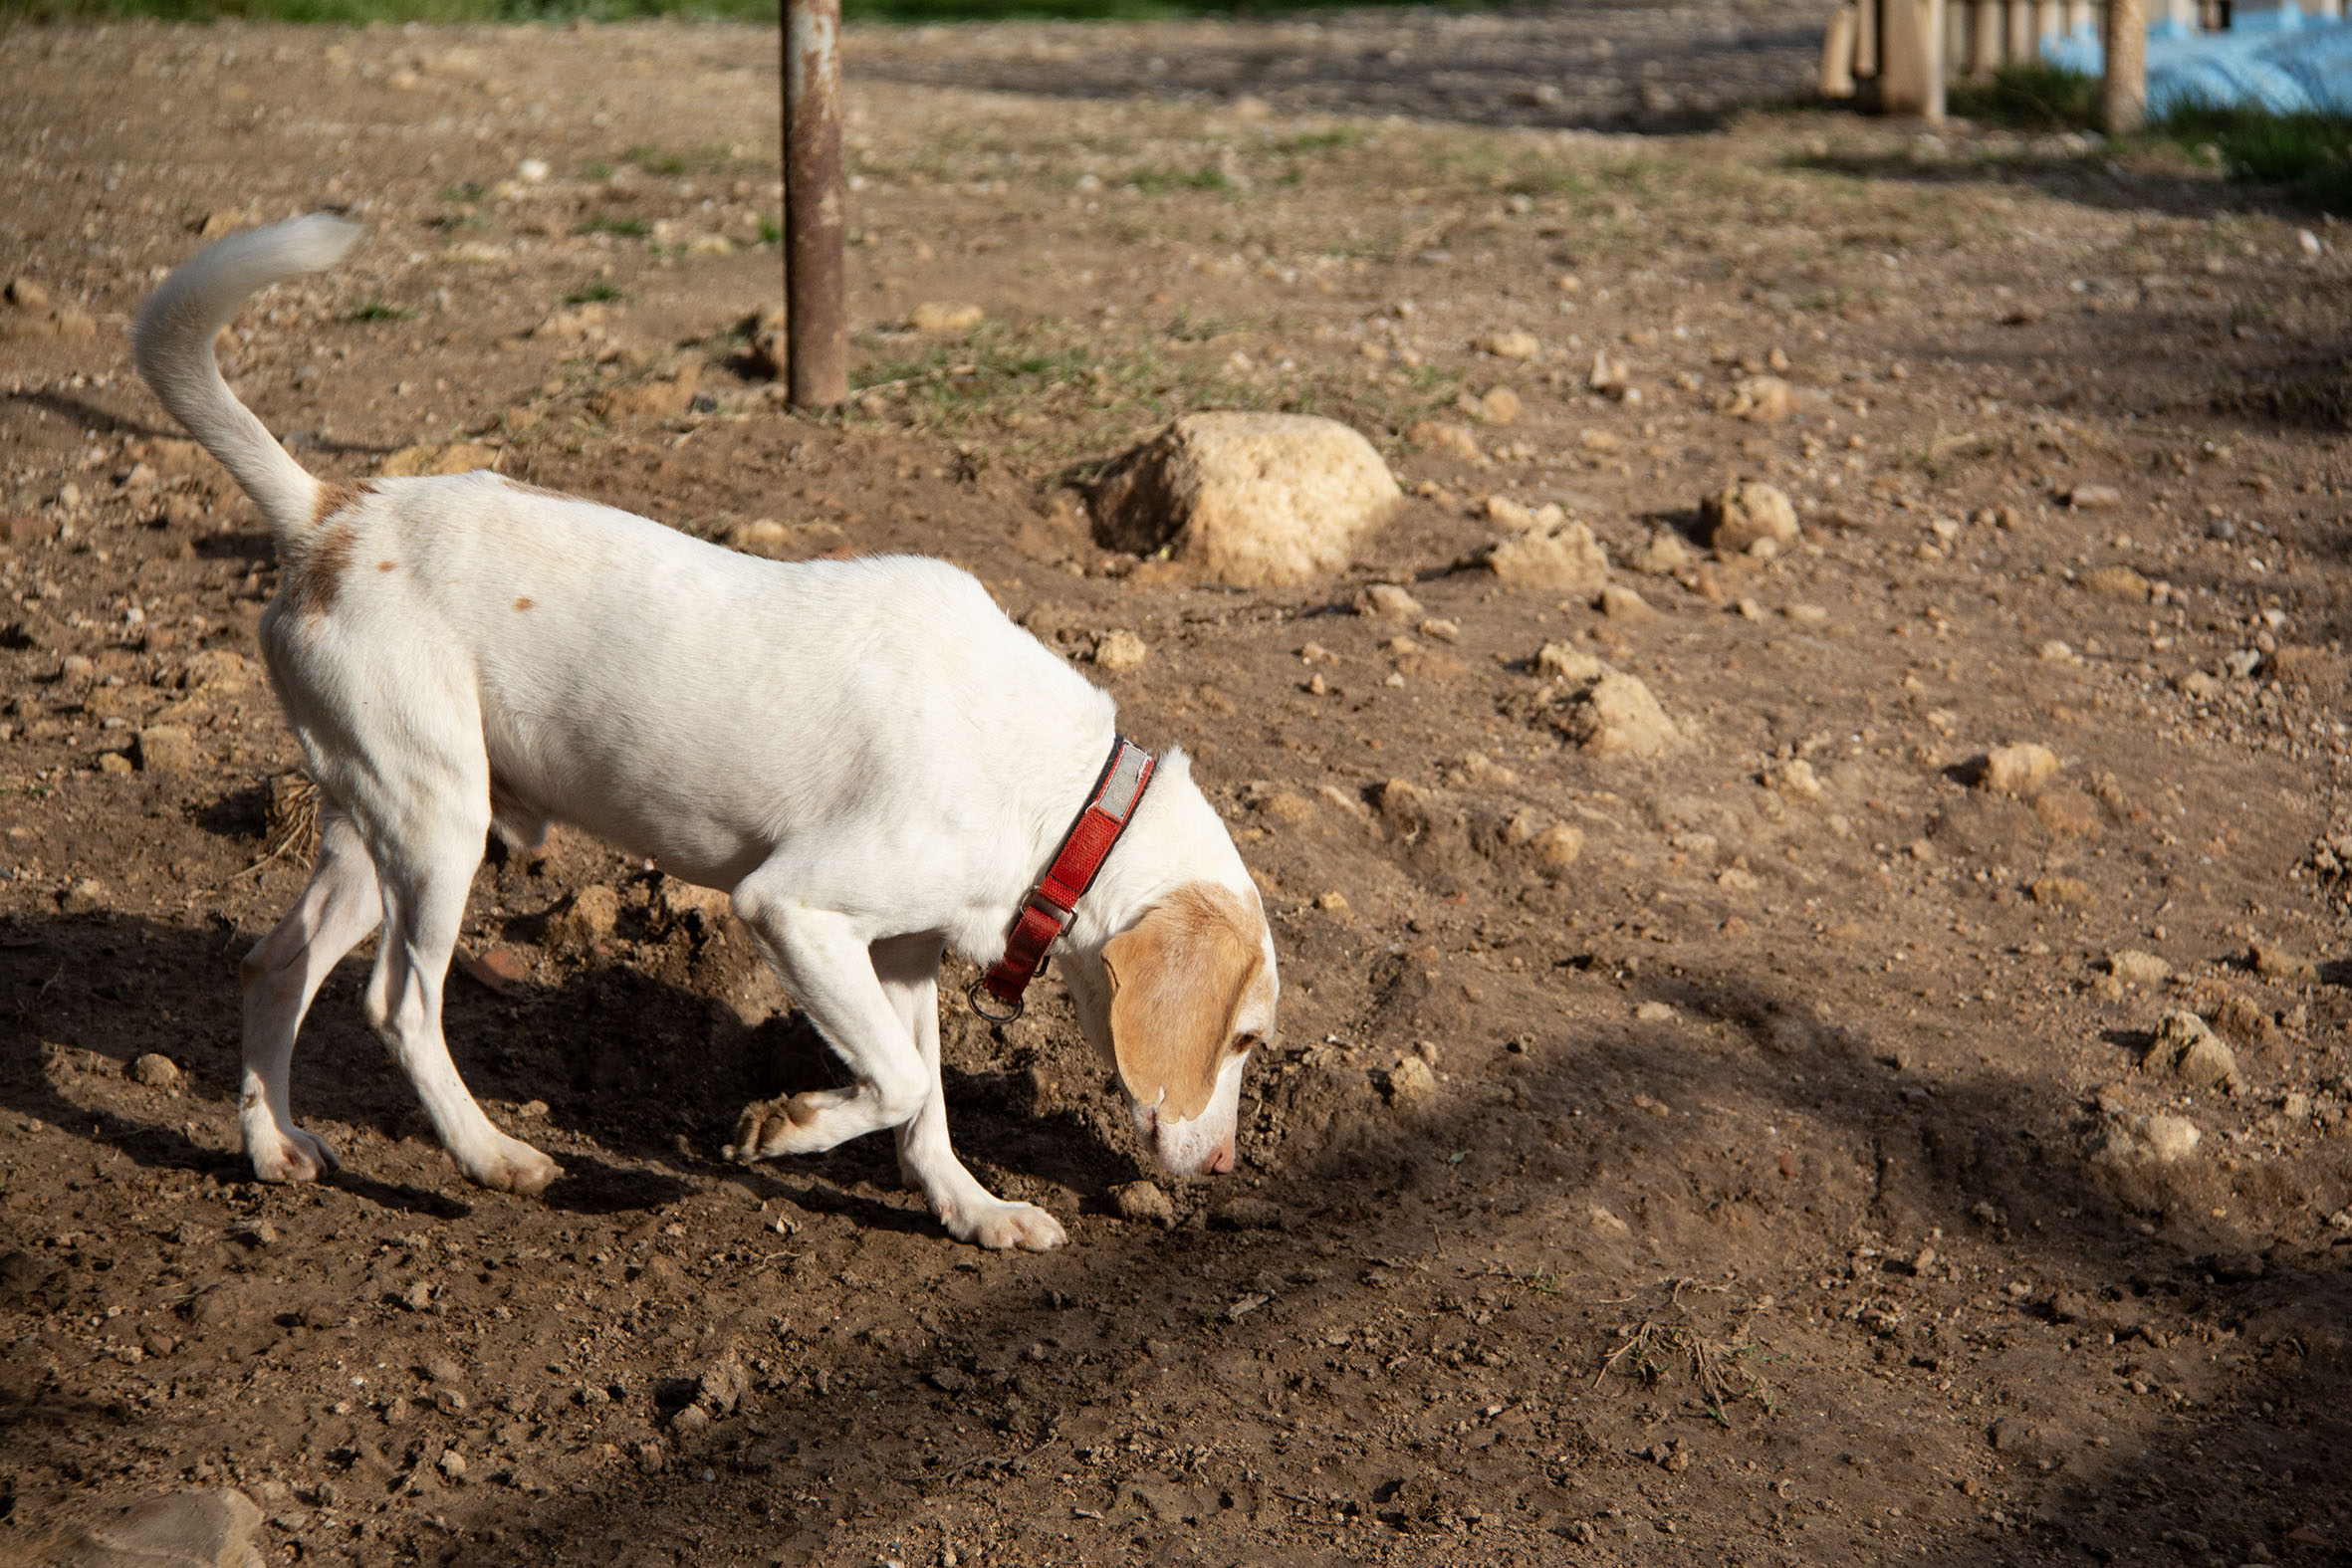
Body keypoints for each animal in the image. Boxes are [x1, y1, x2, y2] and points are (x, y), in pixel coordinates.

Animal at [132, 214, 1278, 1250]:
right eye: (1244, 1040)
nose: (1224, 1165)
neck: (1071, 803)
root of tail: (330, 514)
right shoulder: (790, 908)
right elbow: (903, 1079)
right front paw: (790, 1127)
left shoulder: (898, 957)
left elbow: (927, 1101)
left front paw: (971, 1209)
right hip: (439, 829)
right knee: (398, 1008)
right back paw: (498, 1158)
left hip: (377, 826)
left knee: (273, 965)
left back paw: (272, 1145)